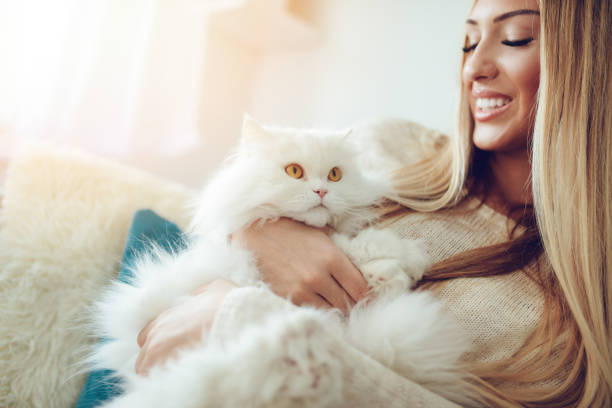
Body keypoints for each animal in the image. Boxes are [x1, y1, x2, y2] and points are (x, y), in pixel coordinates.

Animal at [89, 116, 474, 408]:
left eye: (335, 175)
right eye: (294, 171)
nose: (321, 191)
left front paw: (396, 271)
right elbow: (351, 245)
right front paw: (405, 259)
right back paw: (297, 347)